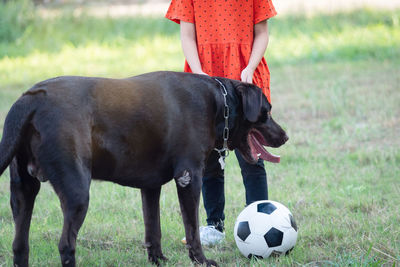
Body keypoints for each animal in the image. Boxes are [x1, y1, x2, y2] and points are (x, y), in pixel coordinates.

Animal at [0, 71, 288, 267]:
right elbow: (191, 229)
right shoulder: (188, 177)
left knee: (19, 245)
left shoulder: (150, 186)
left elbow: (153, 228)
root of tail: (30, 100)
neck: (219, 102)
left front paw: (157, 259)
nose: (285, 137)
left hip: (22, 191)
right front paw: (201, 261)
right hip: (77, 192)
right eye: (267, 111)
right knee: (65, 245)